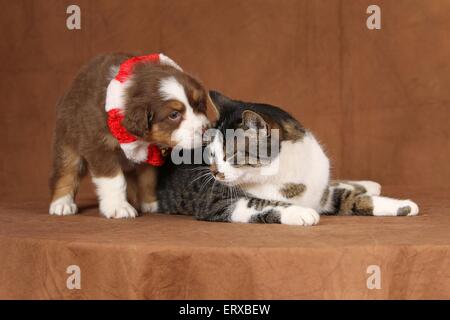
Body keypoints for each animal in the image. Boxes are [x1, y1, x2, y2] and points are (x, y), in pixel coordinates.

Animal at [49, 53, 209, 218]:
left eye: (199, 105)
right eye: (174, 115)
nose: (206, 130)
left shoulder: (150, 154)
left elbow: (148, 179)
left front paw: (150, 203)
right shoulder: (99, 145)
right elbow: (114, 180)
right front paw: (118, 207)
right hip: (68, 139)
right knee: (66, 172)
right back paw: (62, 204)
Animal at [154, 90, 418, 225]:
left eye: (232, 154)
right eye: (211, 153)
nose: (215, 173)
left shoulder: (320, 191)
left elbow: (349, 198)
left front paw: (403, 205)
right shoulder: (215, 202)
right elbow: (260, 203)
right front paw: (301, 212)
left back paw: (368, 185)